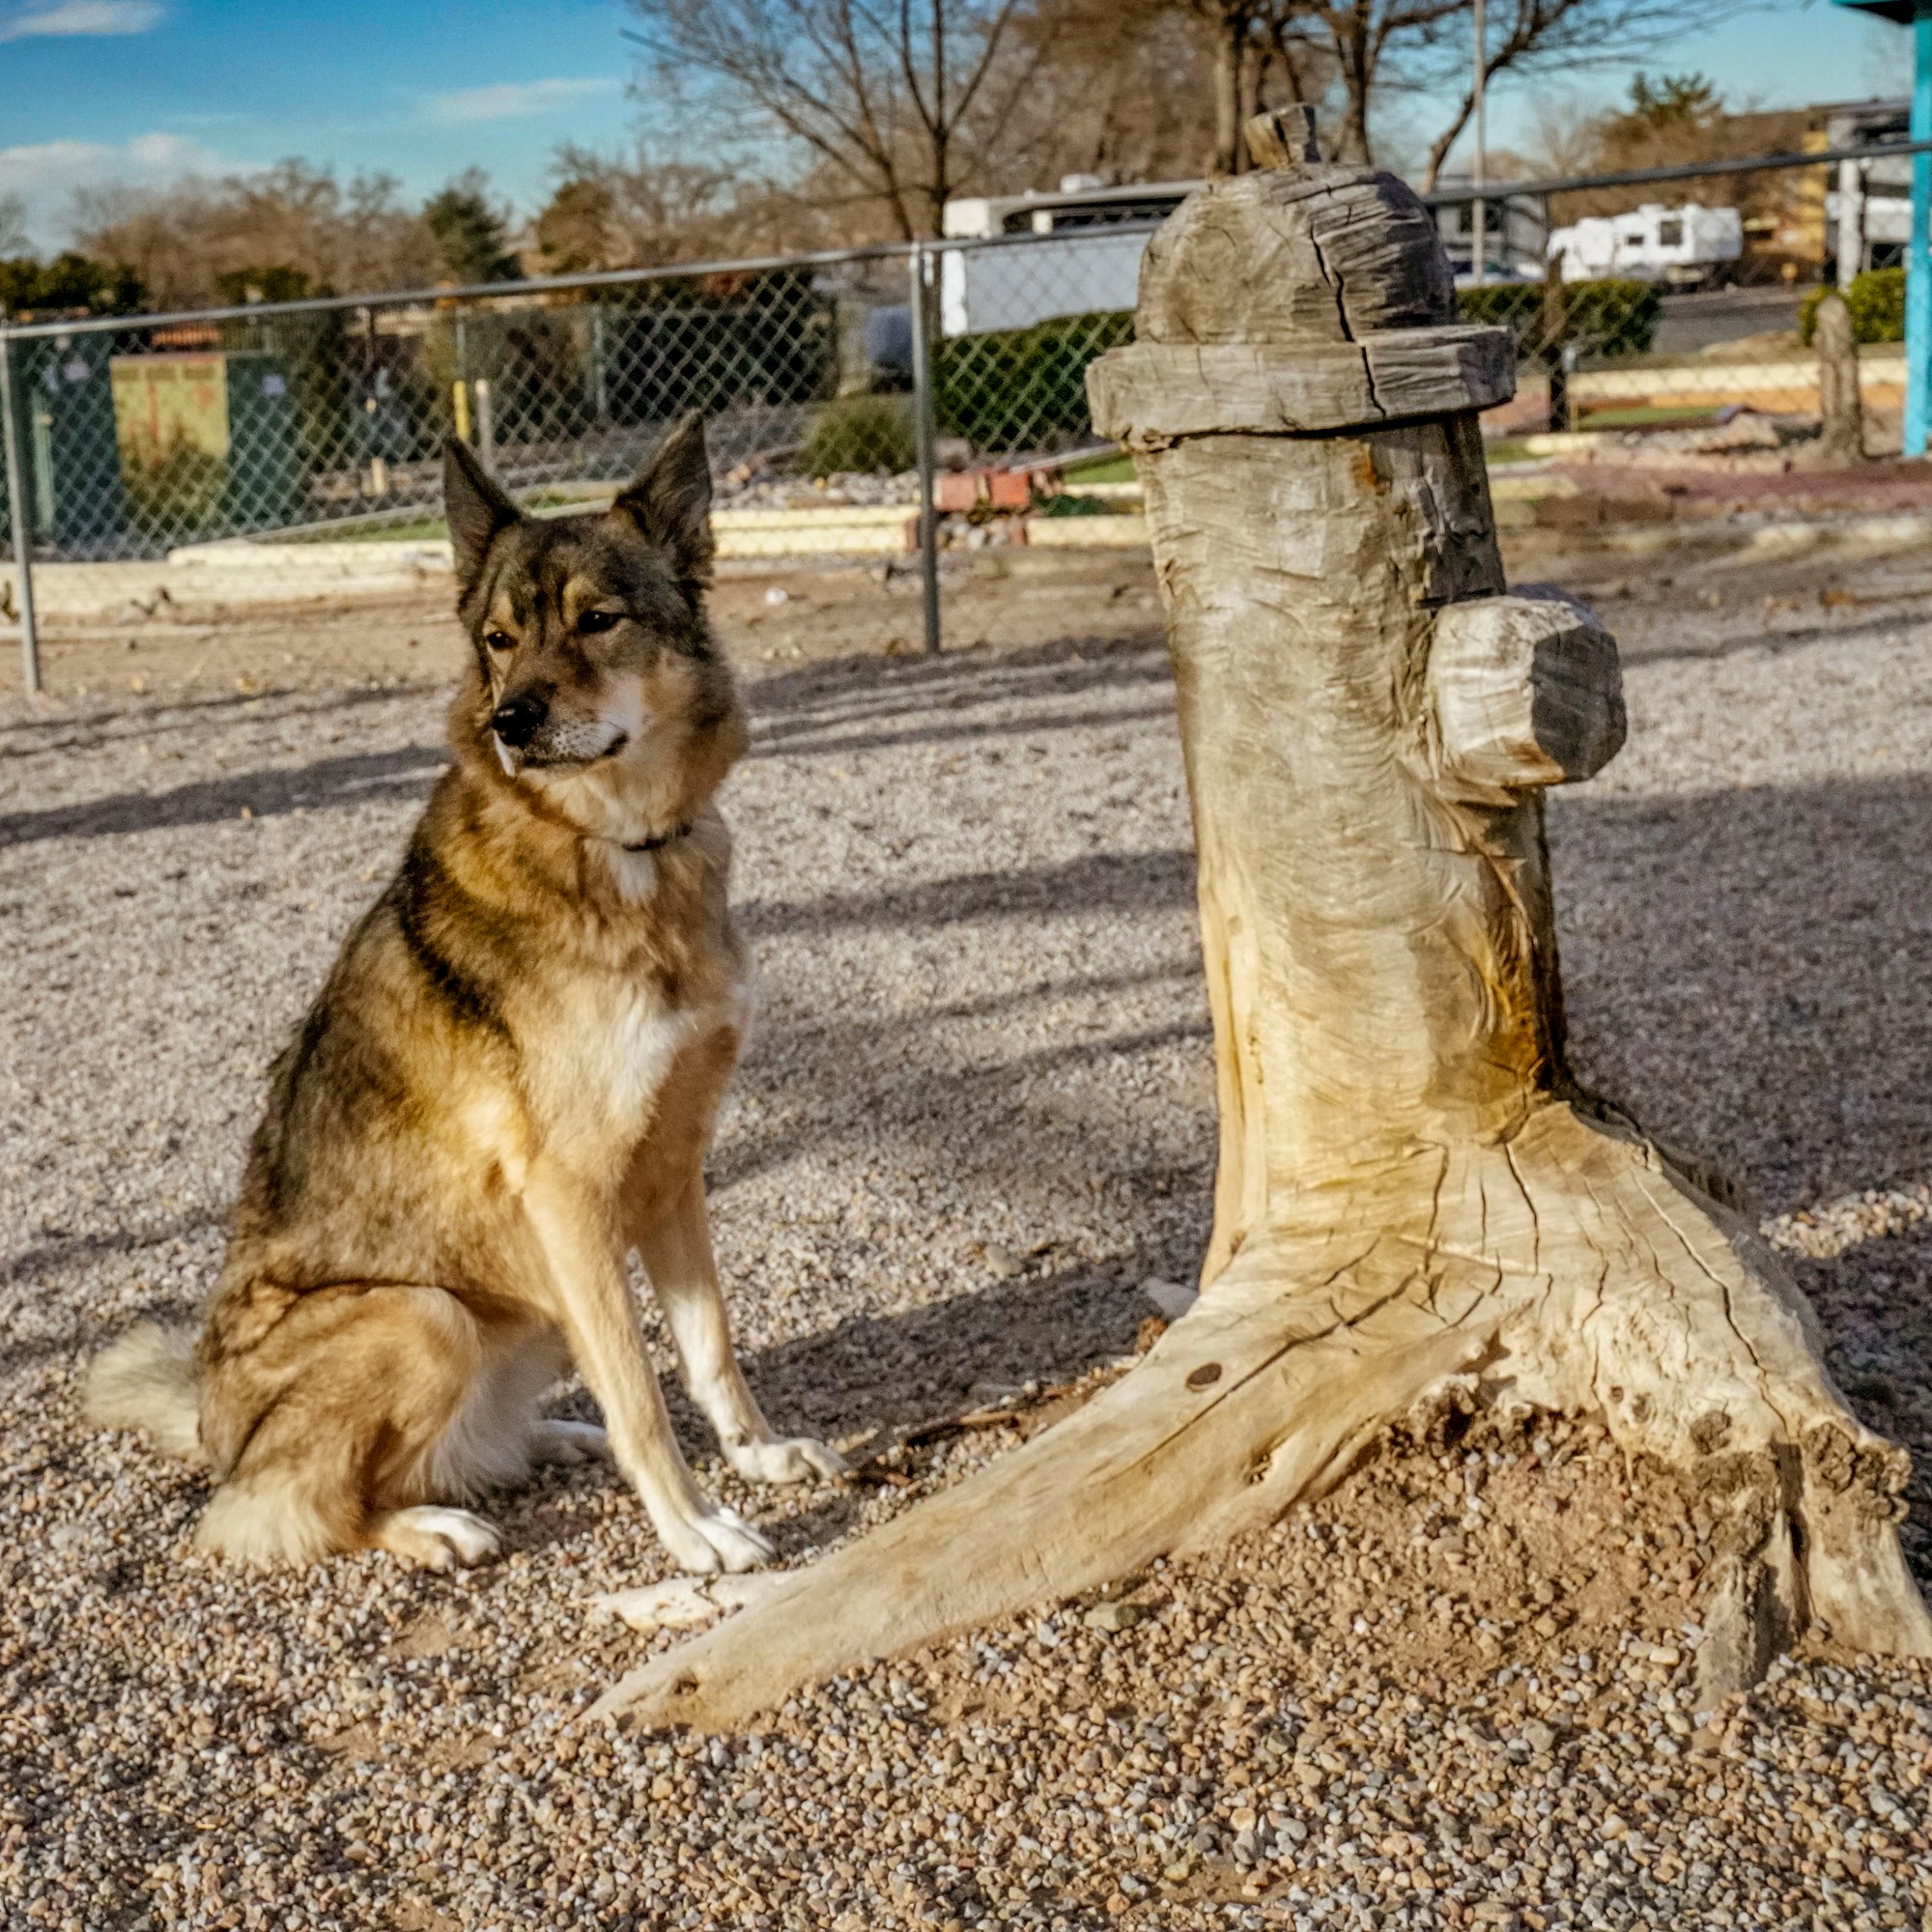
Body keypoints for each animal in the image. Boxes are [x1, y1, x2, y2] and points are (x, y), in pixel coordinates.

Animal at [91, 412, 842, 1569]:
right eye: (496, 639)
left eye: (597, 621)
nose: (512, 720)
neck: (618, 851)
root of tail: (214, 1427)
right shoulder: (572, 1198)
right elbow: (642, 1395)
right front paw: (694, 1532)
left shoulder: (672, 1169)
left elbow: (711, 1347)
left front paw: (755, 1457)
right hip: (426, 1315)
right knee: (280, 1508)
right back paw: (431, 1525)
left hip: (524, 1313)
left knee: (447, 1448)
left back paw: (547, 1438)